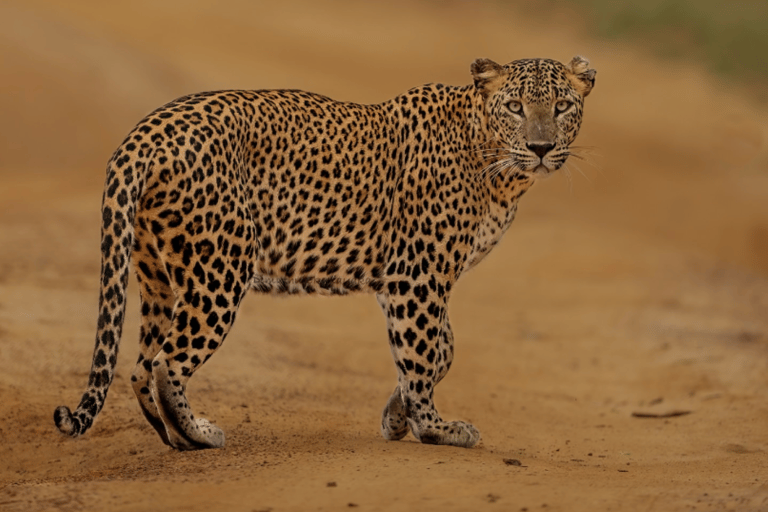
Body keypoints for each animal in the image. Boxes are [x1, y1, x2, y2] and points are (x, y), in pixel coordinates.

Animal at [55, 54, 592, 450]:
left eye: (563, 106)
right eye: (516, 107)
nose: (541, 147)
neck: (495, 164)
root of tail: (143, 133)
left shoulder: (400, 279)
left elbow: (442, 347)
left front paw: (397, 417)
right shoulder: (417, 275)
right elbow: (424, 351)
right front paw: (433, 427)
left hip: (158, 274)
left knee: (139, 365)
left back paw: (172, 436)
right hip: (221, 267)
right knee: (167, 362)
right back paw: (199, 434)